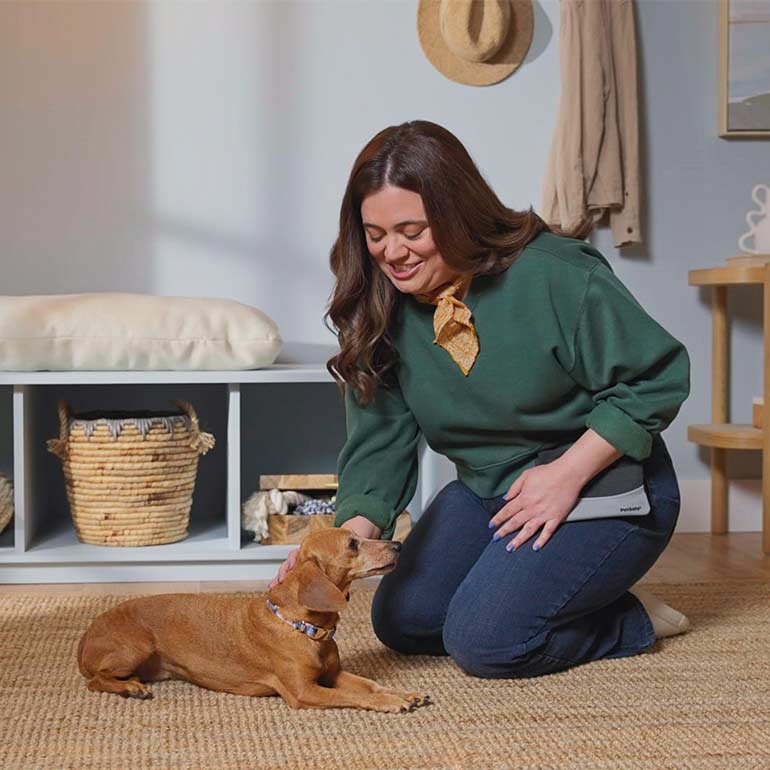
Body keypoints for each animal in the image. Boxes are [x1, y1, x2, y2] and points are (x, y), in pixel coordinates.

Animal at [77, 527, 432, 713]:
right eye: (353, 544)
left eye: (358, 536)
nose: (398, 544)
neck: (304, 629)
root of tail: (87, 632)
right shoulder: (305, 692)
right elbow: (356, 696)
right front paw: (389, 703)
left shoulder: (334, 674)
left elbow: (370, 684)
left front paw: (404, 694)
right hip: (134, 648)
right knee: (94, 681)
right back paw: (130, 688)